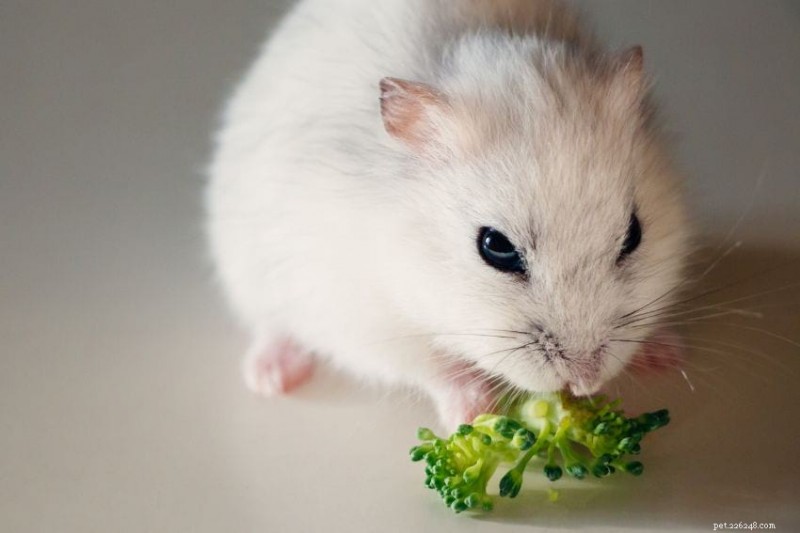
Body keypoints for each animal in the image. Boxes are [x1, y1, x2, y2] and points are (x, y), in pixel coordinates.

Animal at [206, 0, 690, 429]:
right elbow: (436, 368)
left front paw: (666, 354)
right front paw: (474, 413)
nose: (585, 382)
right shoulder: (360, 319)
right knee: (271, 326)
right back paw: (271, 377)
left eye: (634, 235)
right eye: (495, 247)